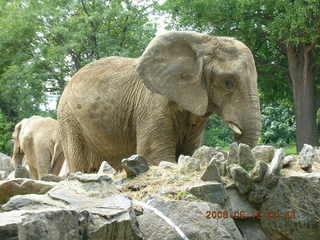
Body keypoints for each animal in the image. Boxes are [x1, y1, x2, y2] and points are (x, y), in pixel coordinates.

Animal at [58, 31, 260, 172]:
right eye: (228, 83)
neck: (203, 41)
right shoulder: (152, 104)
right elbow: (156, 156)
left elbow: (188, 152)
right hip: (69, 121)